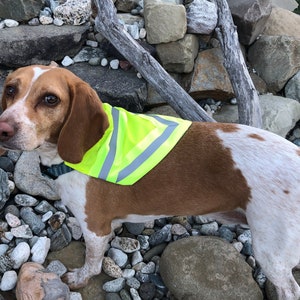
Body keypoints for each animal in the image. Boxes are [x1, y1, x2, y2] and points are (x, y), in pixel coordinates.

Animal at [0, 64, 300, 298]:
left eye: (50, 99)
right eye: (11, 89)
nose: (3, 128)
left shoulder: (95, 227)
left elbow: (93, 262)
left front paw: (80, 278)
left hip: (271, 253)